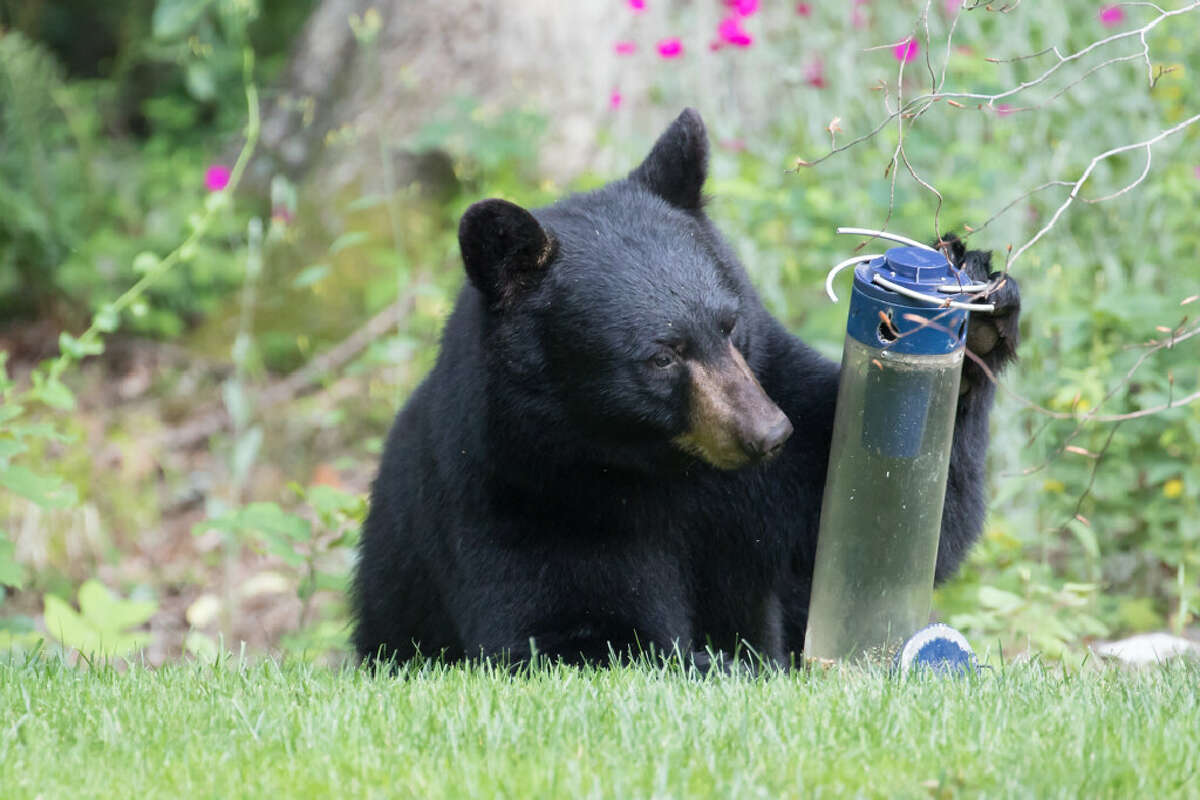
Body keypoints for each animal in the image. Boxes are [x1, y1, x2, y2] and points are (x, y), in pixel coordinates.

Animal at [350, 107, 1017, 671]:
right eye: (661, 356)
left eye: (729, 324)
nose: (767, 432)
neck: (660, 467)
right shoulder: (519, 498)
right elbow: (567, 631)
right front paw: (720, 663)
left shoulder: (773, 438)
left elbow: (886, 520)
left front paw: (974, 307)